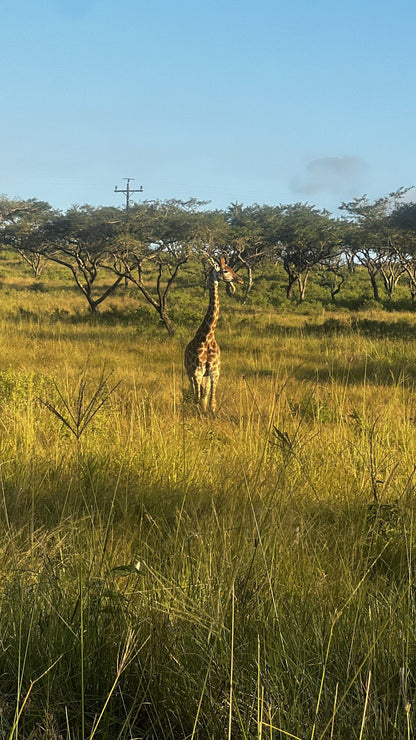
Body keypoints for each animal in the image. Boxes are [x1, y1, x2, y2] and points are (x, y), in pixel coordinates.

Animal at [185, 258, 244, 414]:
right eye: (225, 270)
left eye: (232, 268)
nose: (240, 280)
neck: (208, 336)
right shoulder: (197, 372)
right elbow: (198, 399)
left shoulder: (214, 372)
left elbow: (211, 402)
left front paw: (210, 413)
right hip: (190, 373)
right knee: (195, 393)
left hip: (204, 376)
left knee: (204, 396)